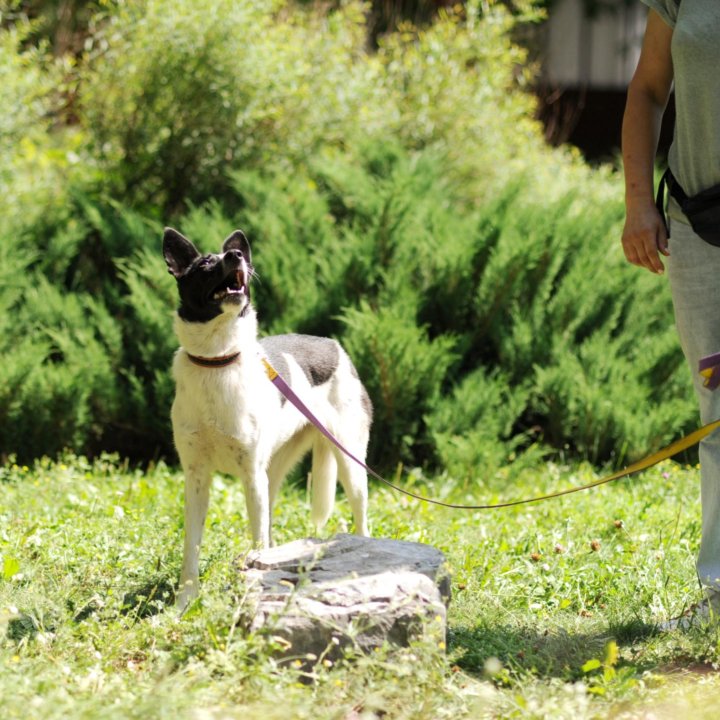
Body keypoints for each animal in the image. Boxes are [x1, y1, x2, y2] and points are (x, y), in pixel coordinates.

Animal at [162, 228, 372, 612]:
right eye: (205, 264)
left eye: (231, 256)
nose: (235, 257)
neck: (218, 360)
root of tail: (335, 345)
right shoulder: (197, 478)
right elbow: (191, 548)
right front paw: (185, 602)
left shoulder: (250, 475)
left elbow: (257, 539)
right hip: (272, 475)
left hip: (349, 462)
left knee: (361, 515)